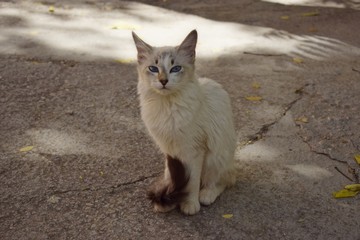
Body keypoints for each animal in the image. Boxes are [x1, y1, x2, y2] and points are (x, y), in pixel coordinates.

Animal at [132, 29, 236, 215]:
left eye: (176, 69)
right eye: (153, 69)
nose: (163, 81)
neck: (167, 106)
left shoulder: (194, 150)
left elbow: (192, 182)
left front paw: (189, 204)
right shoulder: (170, 150)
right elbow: (172, 176)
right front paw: (169, 199)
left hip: (216, 157)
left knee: (222, 180)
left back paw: (206, 195)